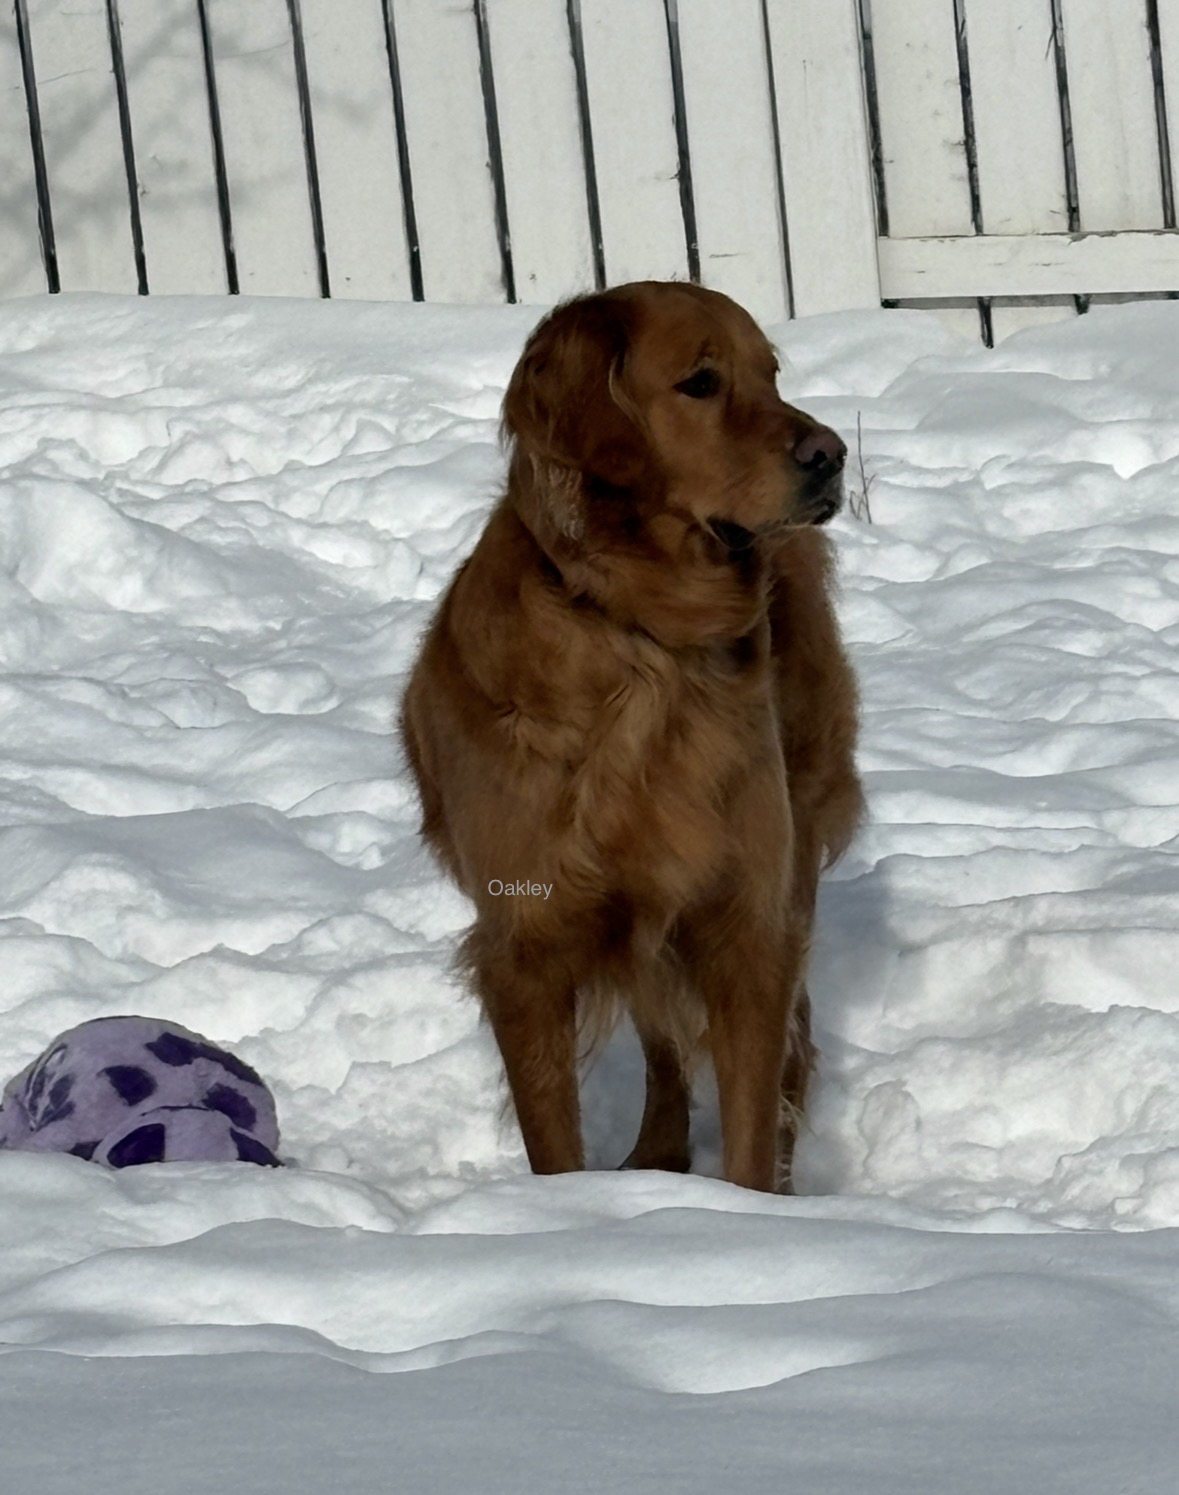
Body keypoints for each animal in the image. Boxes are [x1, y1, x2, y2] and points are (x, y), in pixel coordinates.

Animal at [401, 281, 862, 1193]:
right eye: (699, 382)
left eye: (770, 373)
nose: (830, 454)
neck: (644, 639)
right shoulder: (527, 943)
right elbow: (554, 1136)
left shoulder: (746, 919)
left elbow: (752, 1117)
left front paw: (754, 1209)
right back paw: (657, 1156)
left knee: (787, 1051)